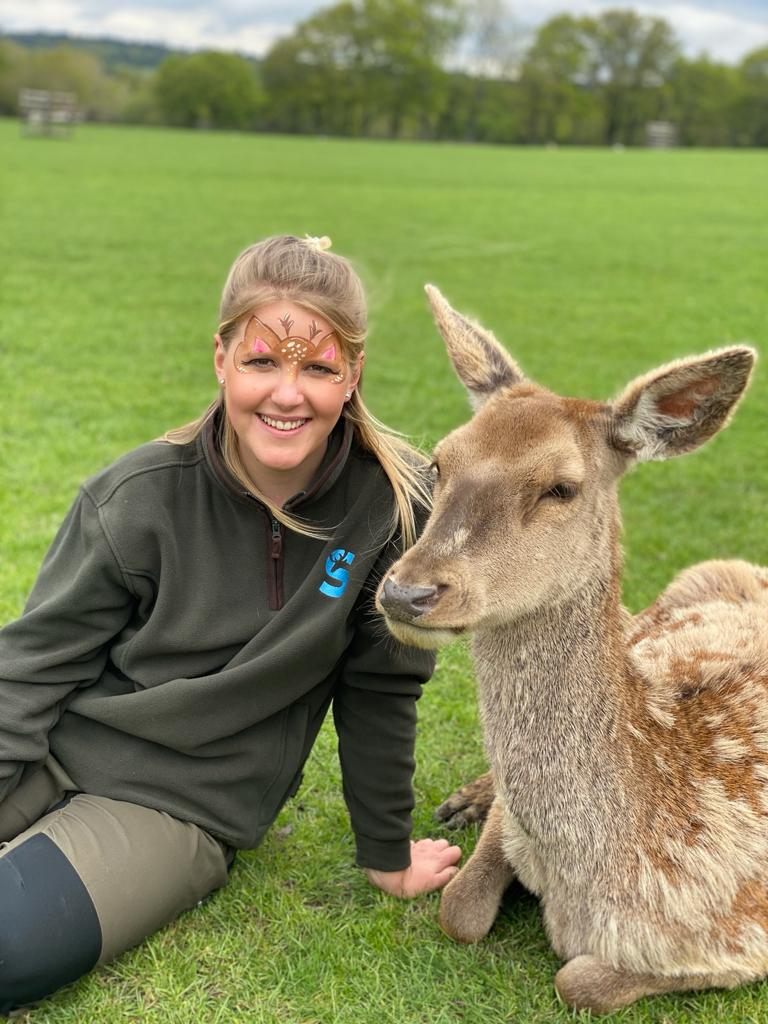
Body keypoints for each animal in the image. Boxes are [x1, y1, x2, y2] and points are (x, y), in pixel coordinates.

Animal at [378, 284, 768, 1011]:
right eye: (438, 463)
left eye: (561, 487)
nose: (408, 592)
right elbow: (459, 909)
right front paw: (476, 811)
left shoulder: (742, 935)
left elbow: (579, 980)